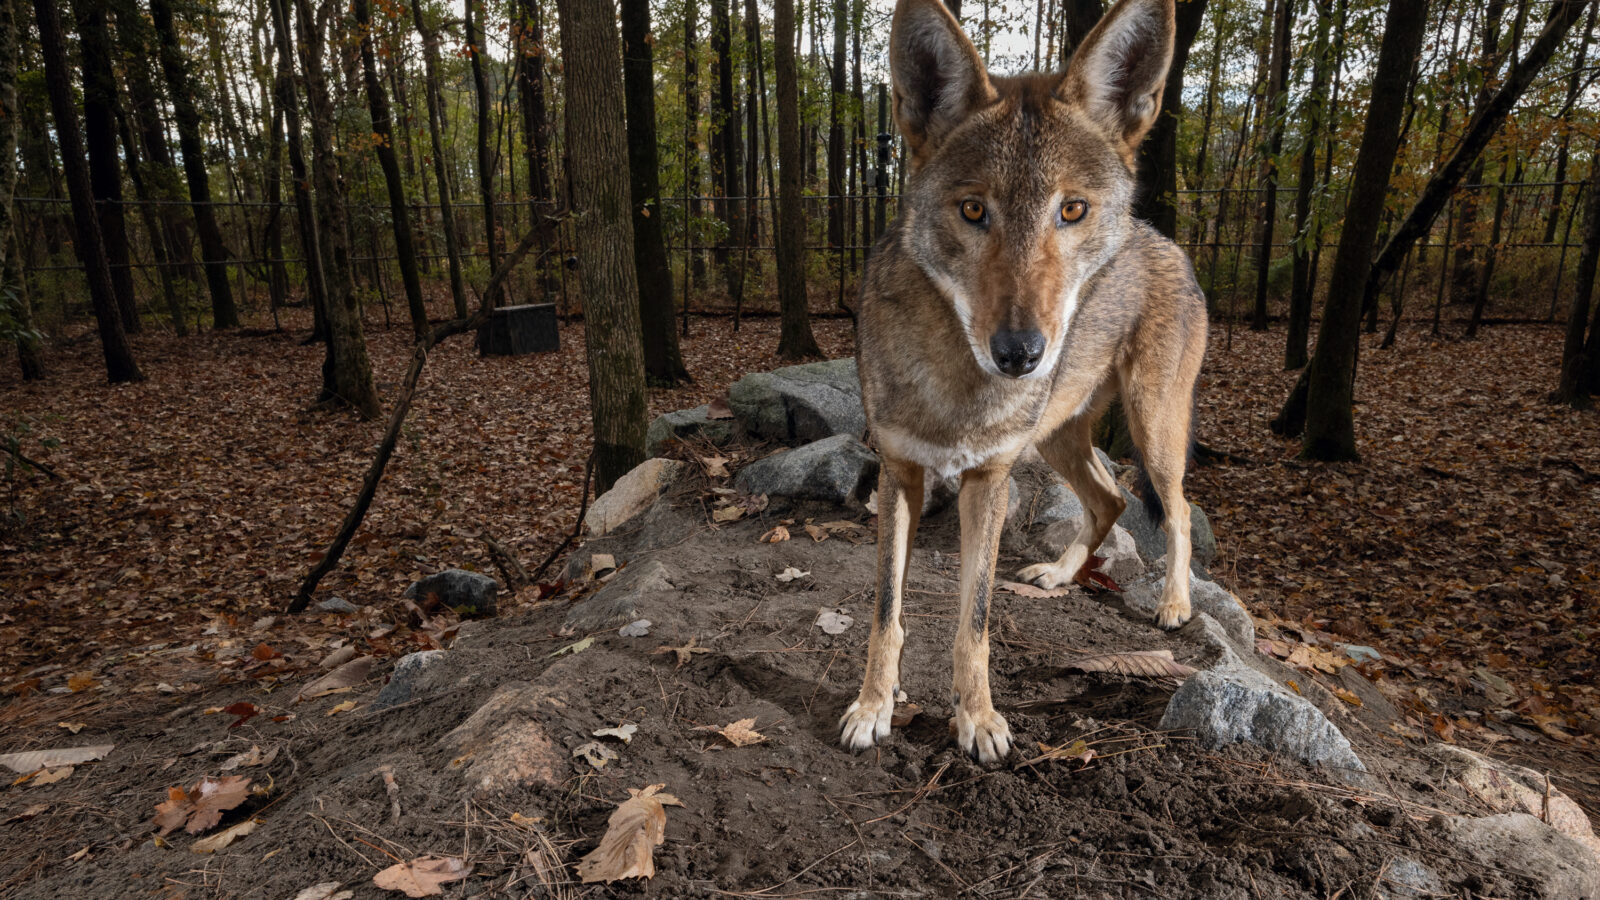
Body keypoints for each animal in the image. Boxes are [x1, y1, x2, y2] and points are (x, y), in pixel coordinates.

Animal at [844, 0, 1203, 762]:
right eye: (974, 210)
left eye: (1072, 210)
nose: (1020, 354)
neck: (958, 382)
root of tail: (1167, 241)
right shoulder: (899, 473)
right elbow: (888, 609)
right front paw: (874, 705)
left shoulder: (990, 480)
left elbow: (973, 621)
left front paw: (977, 720)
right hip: (1058, 439)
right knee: (1111, 500)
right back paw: (1060, 576)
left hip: (1152, 429)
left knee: (1177, 508)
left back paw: (1173, 603)